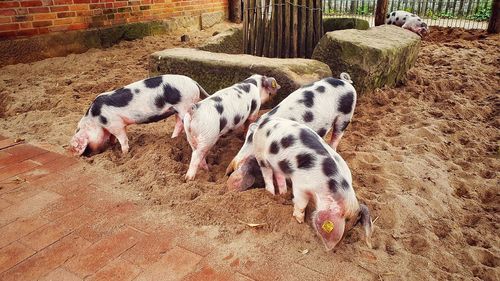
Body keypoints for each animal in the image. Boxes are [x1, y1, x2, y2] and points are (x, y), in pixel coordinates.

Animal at [69, 74, 208, 155]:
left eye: (86, 145)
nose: (87, 156)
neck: (95, 119)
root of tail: (193, 82)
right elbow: (113, 137)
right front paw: (113, 144)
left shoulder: (115, 124)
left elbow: (122, 138)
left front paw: (124, 153)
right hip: (177, 108)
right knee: (178, 124)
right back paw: (172, 138)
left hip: (184, 104)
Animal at [248, 117, 374, 248]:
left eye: (352, 227)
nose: (335, 248)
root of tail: (261, 123)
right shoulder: (300, 185)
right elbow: (301, 203)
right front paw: (300, 220)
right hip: (260, 153)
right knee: (267, 173)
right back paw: (271, 193)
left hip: (277, 163)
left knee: (279, 174)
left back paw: (283, 193)